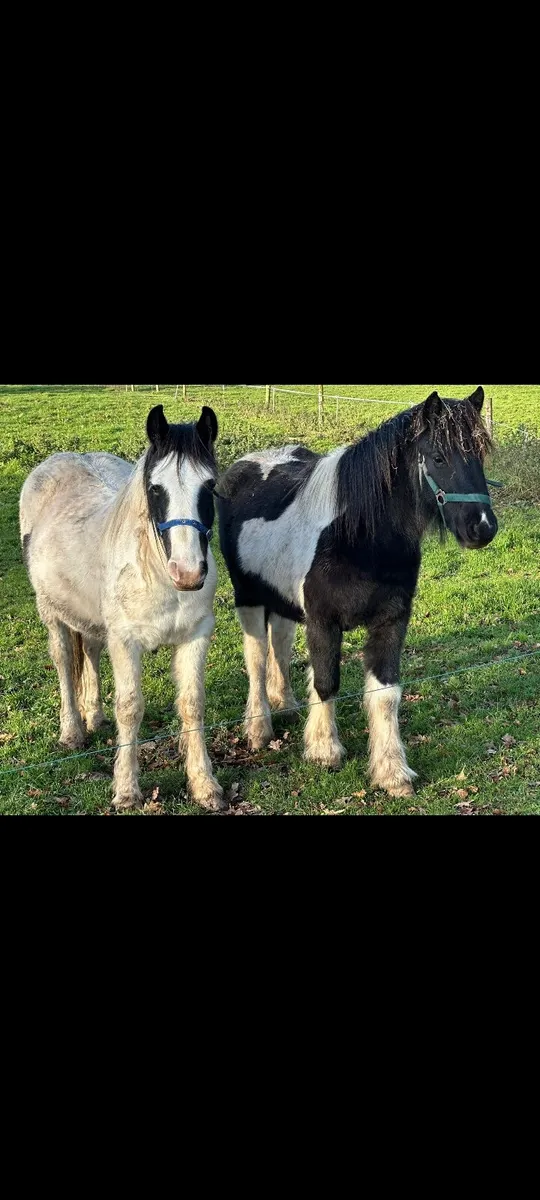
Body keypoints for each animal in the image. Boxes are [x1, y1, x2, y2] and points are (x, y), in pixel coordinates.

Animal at [20, 404, 226, 812]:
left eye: (209, 486)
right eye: (155, 489)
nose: (188, 573)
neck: (158, 575)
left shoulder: (196, 636)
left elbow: (192, 704)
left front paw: (204, 786)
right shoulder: (125, 642)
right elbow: (130, 708)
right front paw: (127, 791)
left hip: (91, 620)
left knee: (90, 652)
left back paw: (94, 716)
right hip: (52, 614)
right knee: (64, 662)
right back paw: (72, 731)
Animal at [217, 387, 499, 798]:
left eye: (479, 453)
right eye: (438, 457)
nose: (482, 527)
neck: (358, 536)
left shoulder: (391, 622)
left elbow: (385, 693)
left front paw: (392, 772)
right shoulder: (323, 622)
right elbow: (325, 681)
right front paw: (324, 751)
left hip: (282, 604)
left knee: (279, 647)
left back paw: (285, 703)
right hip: (248, 598)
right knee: (256, 658)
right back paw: (258, 729)